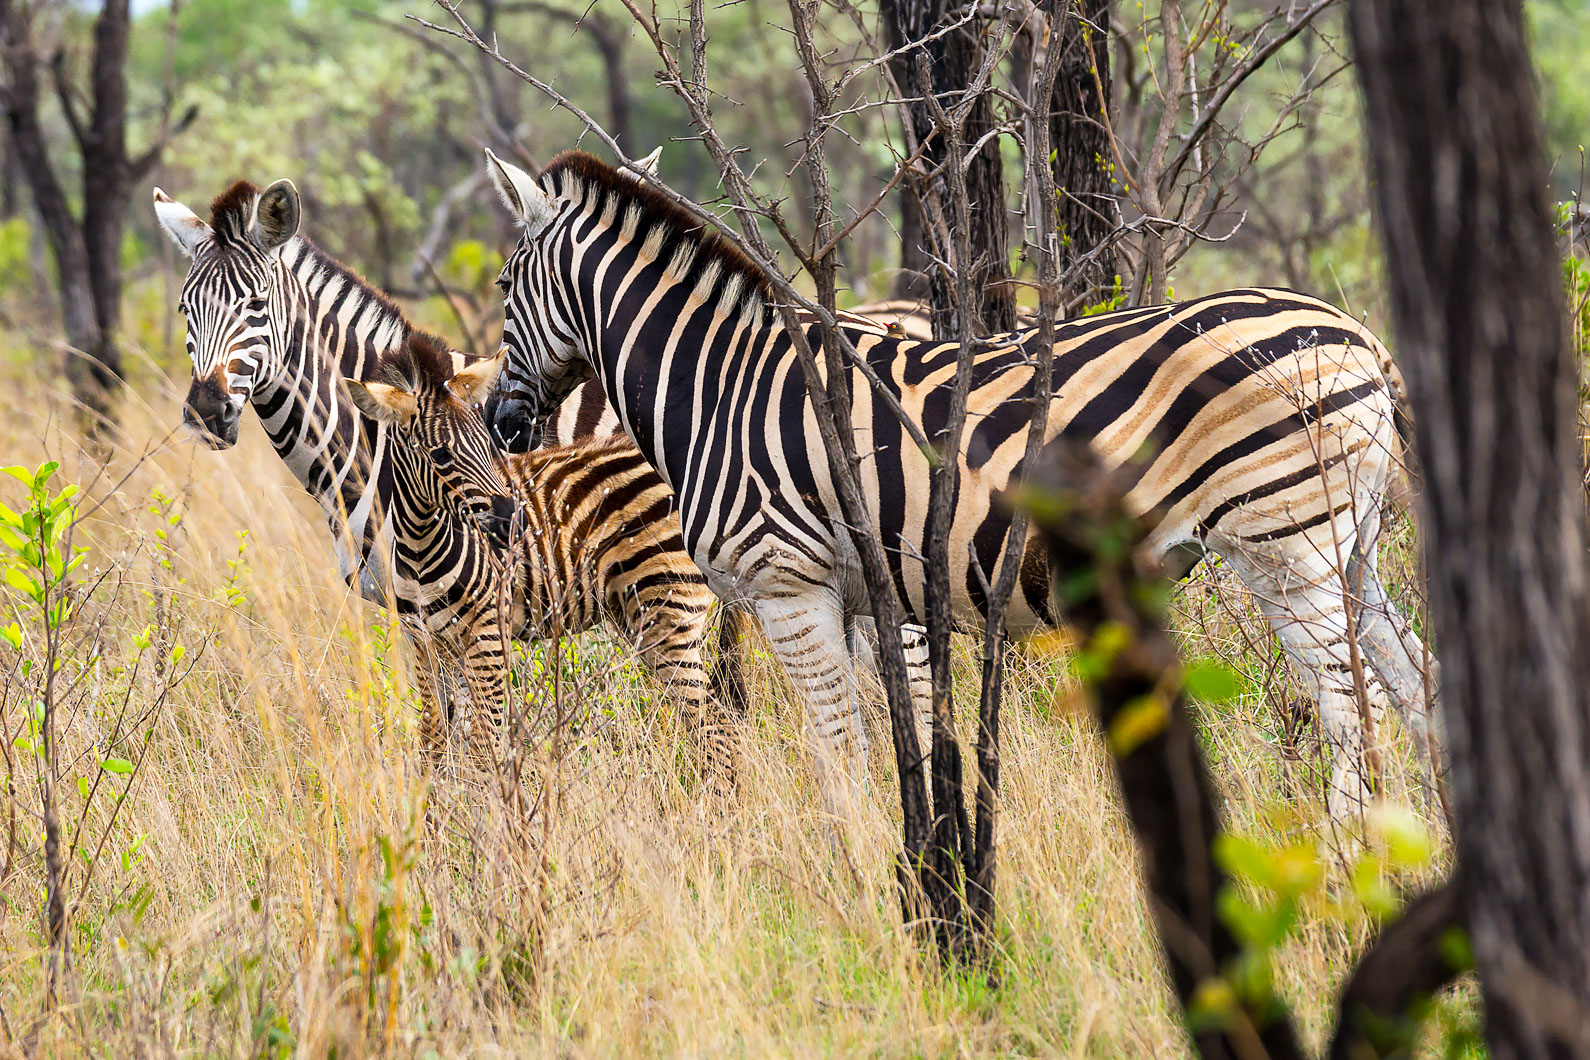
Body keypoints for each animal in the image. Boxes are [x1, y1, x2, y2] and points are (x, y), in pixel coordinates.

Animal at [151, 178, 741, 767]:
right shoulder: (429, 611)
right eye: (183, 307)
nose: (207, 411)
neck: (367, 447)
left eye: (255, 304)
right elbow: (447, 733)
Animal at [480, 148, 1432, 821]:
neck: (720, 386)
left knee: (1356, 713)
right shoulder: (872, 591)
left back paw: (1349, 863)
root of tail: (1355, 331)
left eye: (499, 283)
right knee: (1416, 688)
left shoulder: (790, 587)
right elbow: (893, 736)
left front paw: (856, 887)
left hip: (1285, 547)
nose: (500, 421)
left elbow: (837, 757)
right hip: (1351, 553)